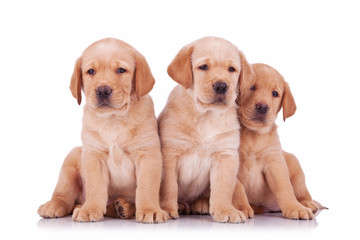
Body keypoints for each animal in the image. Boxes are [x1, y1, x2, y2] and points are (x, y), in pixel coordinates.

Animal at [37, 37, 169, 223]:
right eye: (91, 71)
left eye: (121, 70)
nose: (103, 90)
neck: (113, 119)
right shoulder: (94, 155)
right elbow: (96, 187)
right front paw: (90, 209)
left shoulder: (148, 154)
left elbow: (147, 187)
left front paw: (150, 209)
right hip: (71, 162)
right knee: (63, 195)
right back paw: (56, 205)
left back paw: (123, 207)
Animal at [159, 37, 255, 223]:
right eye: (203, 67)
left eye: (231, 69)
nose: (221, 86)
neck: (206, 116)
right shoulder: (170, 153)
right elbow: (169, 186)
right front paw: (167, 209)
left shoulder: (225, 155)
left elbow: (222, 189)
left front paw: (225, 210)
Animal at [238, 63, 324, 219]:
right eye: (252, 87)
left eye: (275, 94)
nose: (262, 106)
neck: (253, 134)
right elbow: (237, 188)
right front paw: (241, 207)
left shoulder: (275, 163)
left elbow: (284, 188)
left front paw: (294, 208)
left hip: (295, 166)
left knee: (302, 193)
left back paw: (307, 204)